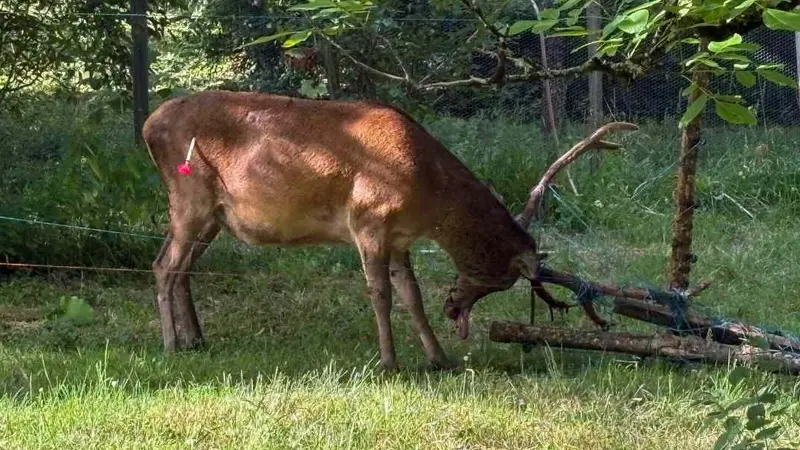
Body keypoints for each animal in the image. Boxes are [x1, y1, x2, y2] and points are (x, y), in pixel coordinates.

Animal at [142, 89, 637, 372]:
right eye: (500, 276)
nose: (455, 308)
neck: (428, 197)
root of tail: (148, 126)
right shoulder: (369, 219)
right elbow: (379, 295)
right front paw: (388, 362)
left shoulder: (400, 239)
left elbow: (411, 294)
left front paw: (440, 360)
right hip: (189, 197)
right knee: (163, 265)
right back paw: (170, 346)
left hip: (212, 215)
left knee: (180, 267)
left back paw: (196, 340)